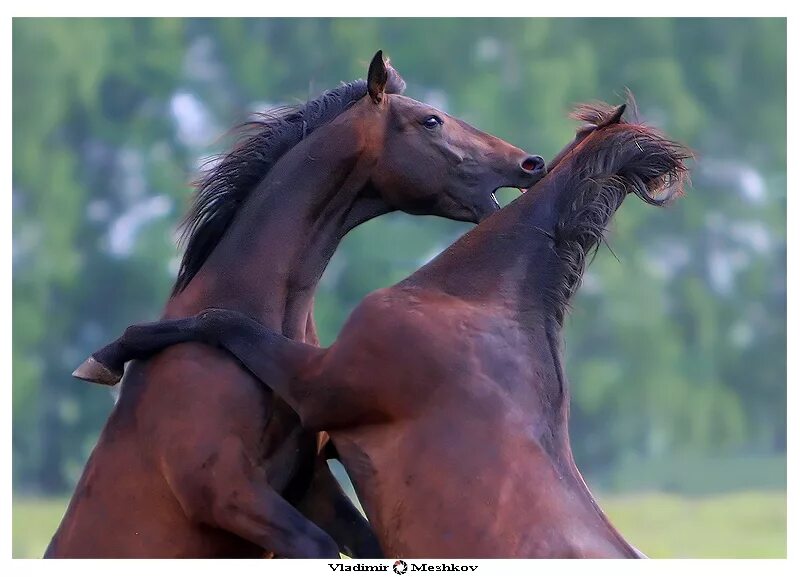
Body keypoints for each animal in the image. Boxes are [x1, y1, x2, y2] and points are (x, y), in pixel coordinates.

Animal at [81, 100, 692, 560]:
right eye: (431, 120)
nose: (530, 163)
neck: (481, 297)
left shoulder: (316, 386)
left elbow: (222, 321)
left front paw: (111, 354)